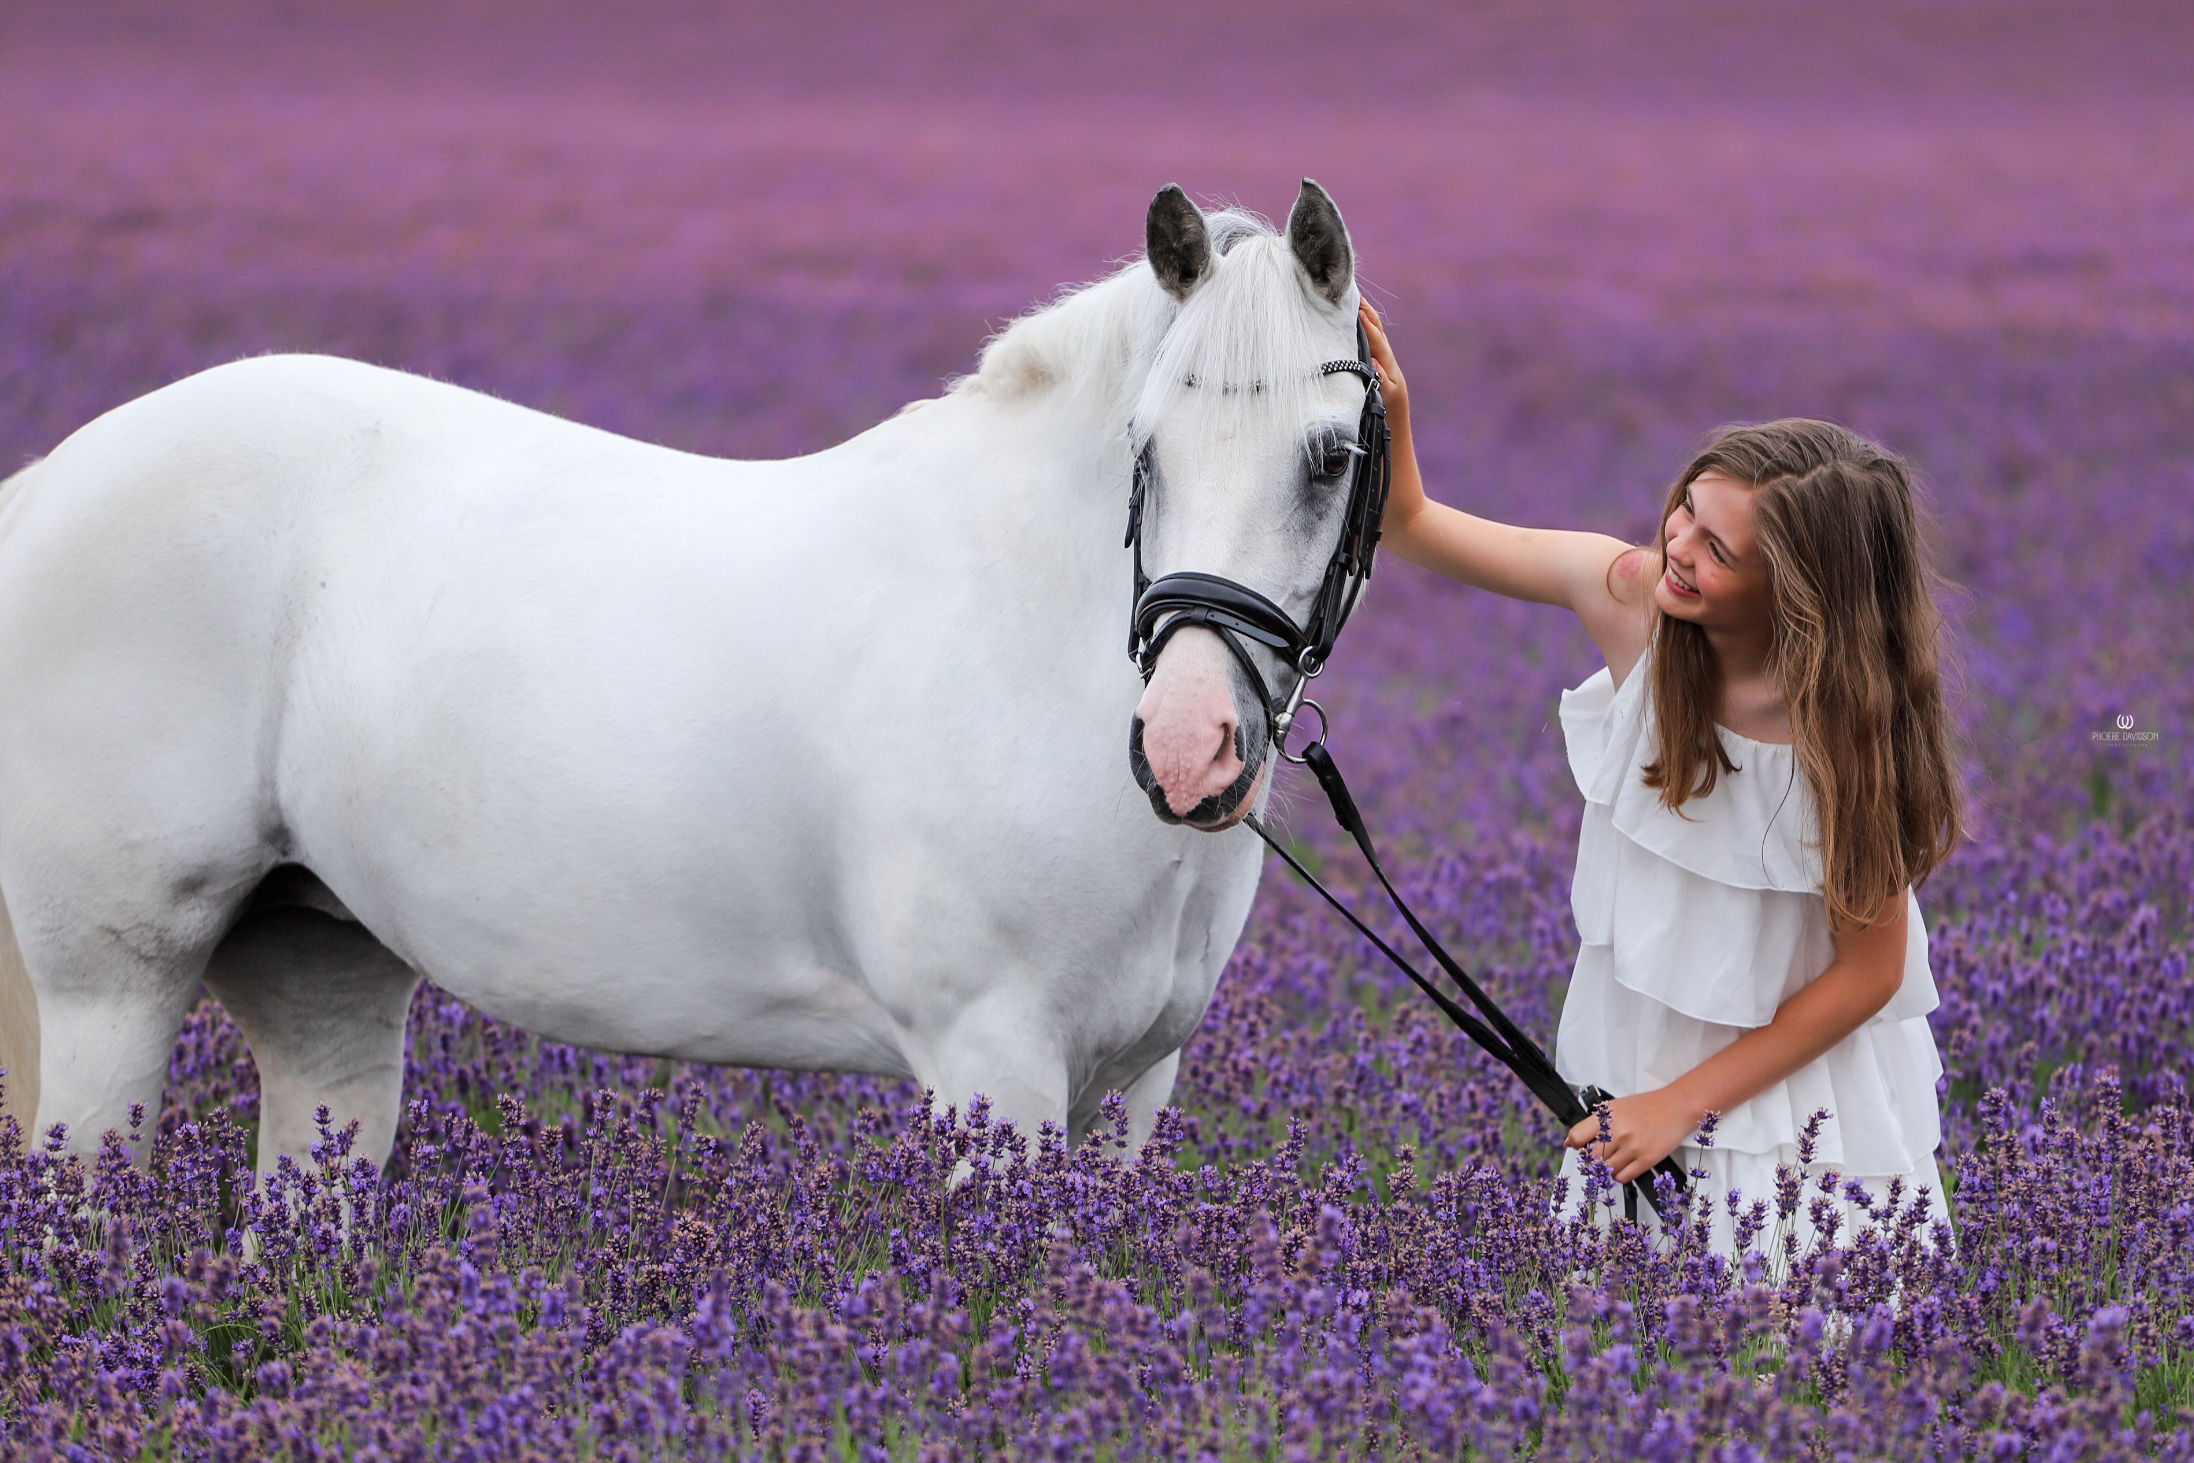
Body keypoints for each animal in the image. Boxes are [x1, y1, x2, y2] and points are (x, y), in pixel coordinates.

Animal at [0, 180, 1378, 1178]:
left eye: (1330, 456)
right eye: (1144, 448)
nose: (1186, 745)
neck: (1025, 631)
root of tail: (48, 481)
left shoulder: (1131, 1087)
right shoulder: (993, 1066)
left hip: (316, 966)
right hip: (108, 990)